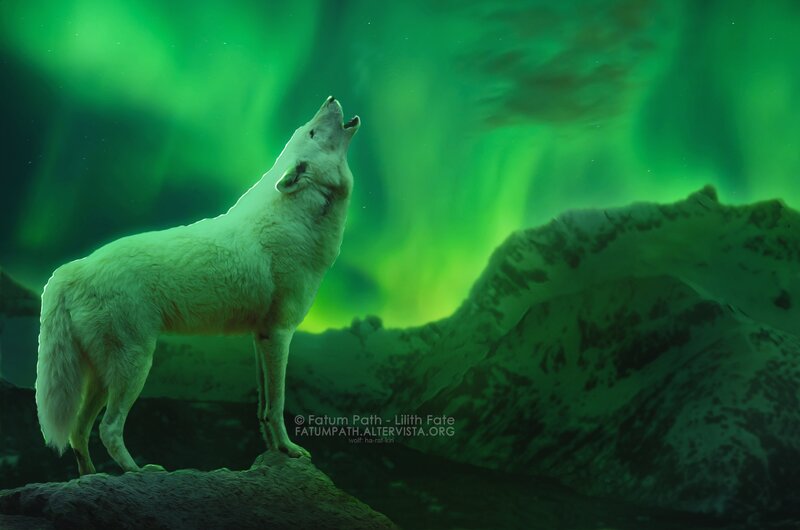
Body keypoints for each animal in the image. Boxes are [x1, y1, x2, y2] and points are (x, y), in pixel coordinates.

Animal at [34, 96, 360, 474]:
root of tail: (71, 269)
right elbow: (277, 404)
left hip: (104, 376)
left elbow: (263, 408)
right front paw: (289, 450)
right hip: (135, 367)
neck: (298, 217)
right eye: (311, 131)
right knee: (108, 428)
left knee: (78, 432)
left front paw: (273, 451)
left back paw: (89, 478)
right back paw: (140, 472)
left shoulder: (261, 337)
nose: (329, 99)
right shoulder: (280, 333)